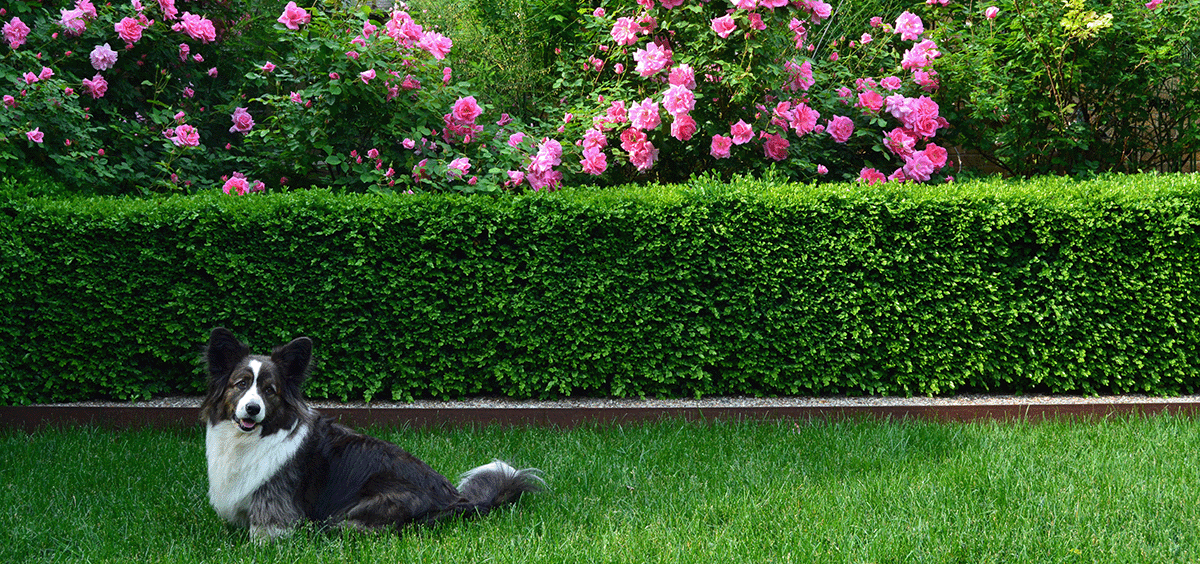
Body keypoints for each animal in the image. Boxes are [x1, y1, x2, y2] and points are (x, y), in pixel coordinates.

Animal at [200, 328, 544, 540]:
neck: (252, 439)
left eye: (269, 390)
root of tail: (456, 500)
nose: (252, 409)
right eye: (241, 384)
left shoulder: (276, 507)